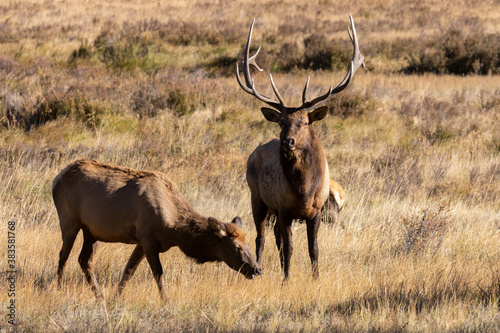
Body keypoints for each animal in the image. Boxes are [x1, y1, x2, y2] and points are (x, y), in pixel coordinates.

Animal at [51, 158, 262, 298]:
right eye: (236, 247)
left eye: (248, 245)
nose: (257, 269)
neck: (175, 229)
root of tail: (56, 179)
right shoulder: (148, 239)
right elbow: (158, 273)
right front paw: (165, 301)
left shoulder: (141, 242)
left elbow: (128, 271)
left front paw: (116, 298)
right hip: (69, 222)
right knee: (63, 256)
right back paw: (59, 289)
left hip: (92, 232)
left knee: (84, 259)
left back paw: (100, 296)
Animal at [234, 14, 364, 278]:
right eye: (282, 121)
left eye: (304, 122)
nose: (288, 141)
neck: (303, 190)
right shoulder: (284, 209)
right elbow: (290, 247)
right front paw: (286, 279)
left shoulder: (316, 211)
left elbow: (313, 248)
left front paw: (315, 278)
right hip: (257, 198)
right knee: (261, 238)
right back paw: (259, 268)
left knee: (274, 238)